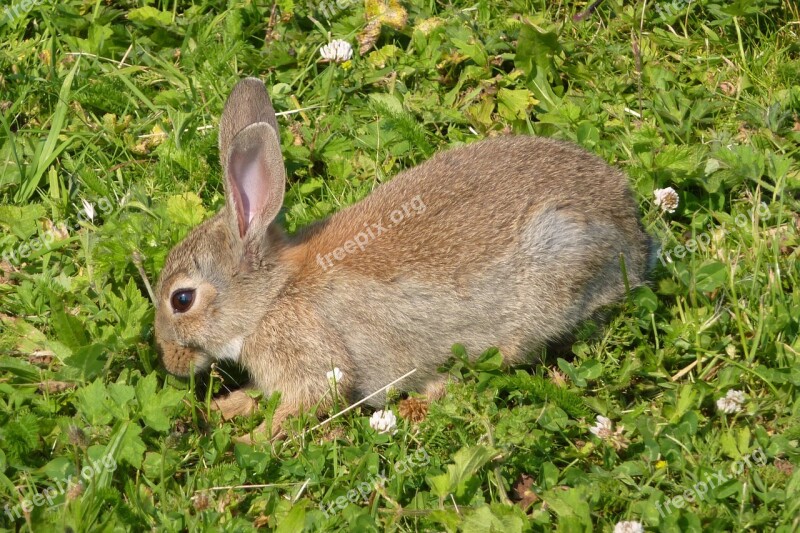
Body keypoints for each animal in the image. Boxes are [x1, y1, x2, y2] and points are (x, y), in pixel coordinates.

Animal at [153, 77, 652, 438]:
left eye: (182, 299)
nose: (170, 364)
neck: (271, 298)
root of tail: (633, 231)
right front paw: (221, 411)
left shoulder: (313, 361)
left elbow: (301, 407)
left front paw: (246, 442)